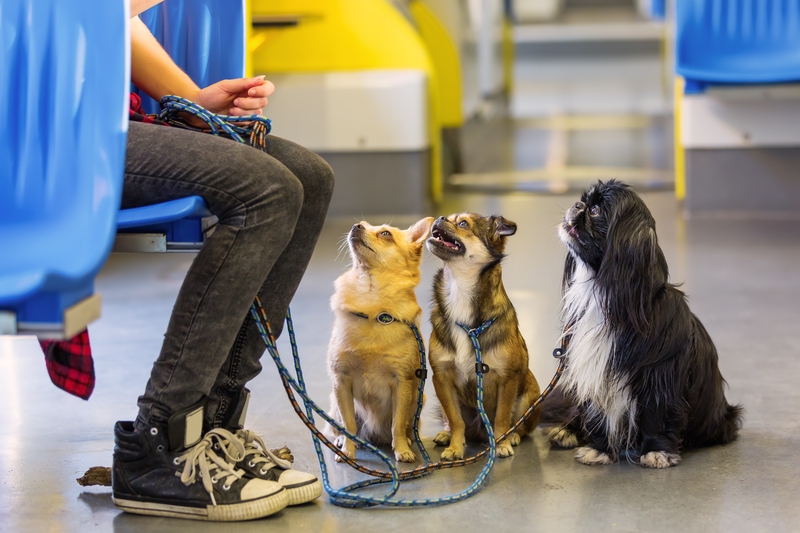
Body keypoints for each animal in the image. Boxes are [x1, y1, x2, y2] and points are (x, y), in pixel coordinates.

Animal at [324, 216, 434, 462]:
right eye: (362, 223)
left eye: (385, 234)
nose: (356, 226)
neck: (371, 302)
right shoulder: (341, 381)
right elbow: (349, 424)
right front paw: (348, 451)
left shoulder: (402, 383)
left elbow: (397, 424)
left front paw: (401, 450)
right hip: (334, 403)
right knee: (342, 426)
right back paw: (341, 440)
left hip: (418, 401)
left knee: (405, 426)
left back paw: (408, 441)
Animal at [428, 214, 540, 460]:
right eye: (450, 218)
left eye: (463, 223)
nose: (440, 217)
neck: (459, 291)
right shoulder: (441, 378)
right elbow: (455, 419)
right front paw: (455, 447)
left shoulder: (507, 379)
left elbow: (501, 417)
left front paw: (502, 444)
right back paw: (445, 435)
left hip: (530, 396)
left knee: (520, 426)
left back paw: (512, 437)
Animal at [544, 181, 744, 468]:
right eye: (584, 202)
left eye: (594, 210)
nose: (577, 205)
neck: (606, 296)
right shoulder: (594, 371)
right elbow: (596, 414)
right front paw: (599, 449)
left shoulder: (659, 377)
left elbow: (657, 416)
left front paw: (657, 452)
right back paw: (566, 431)